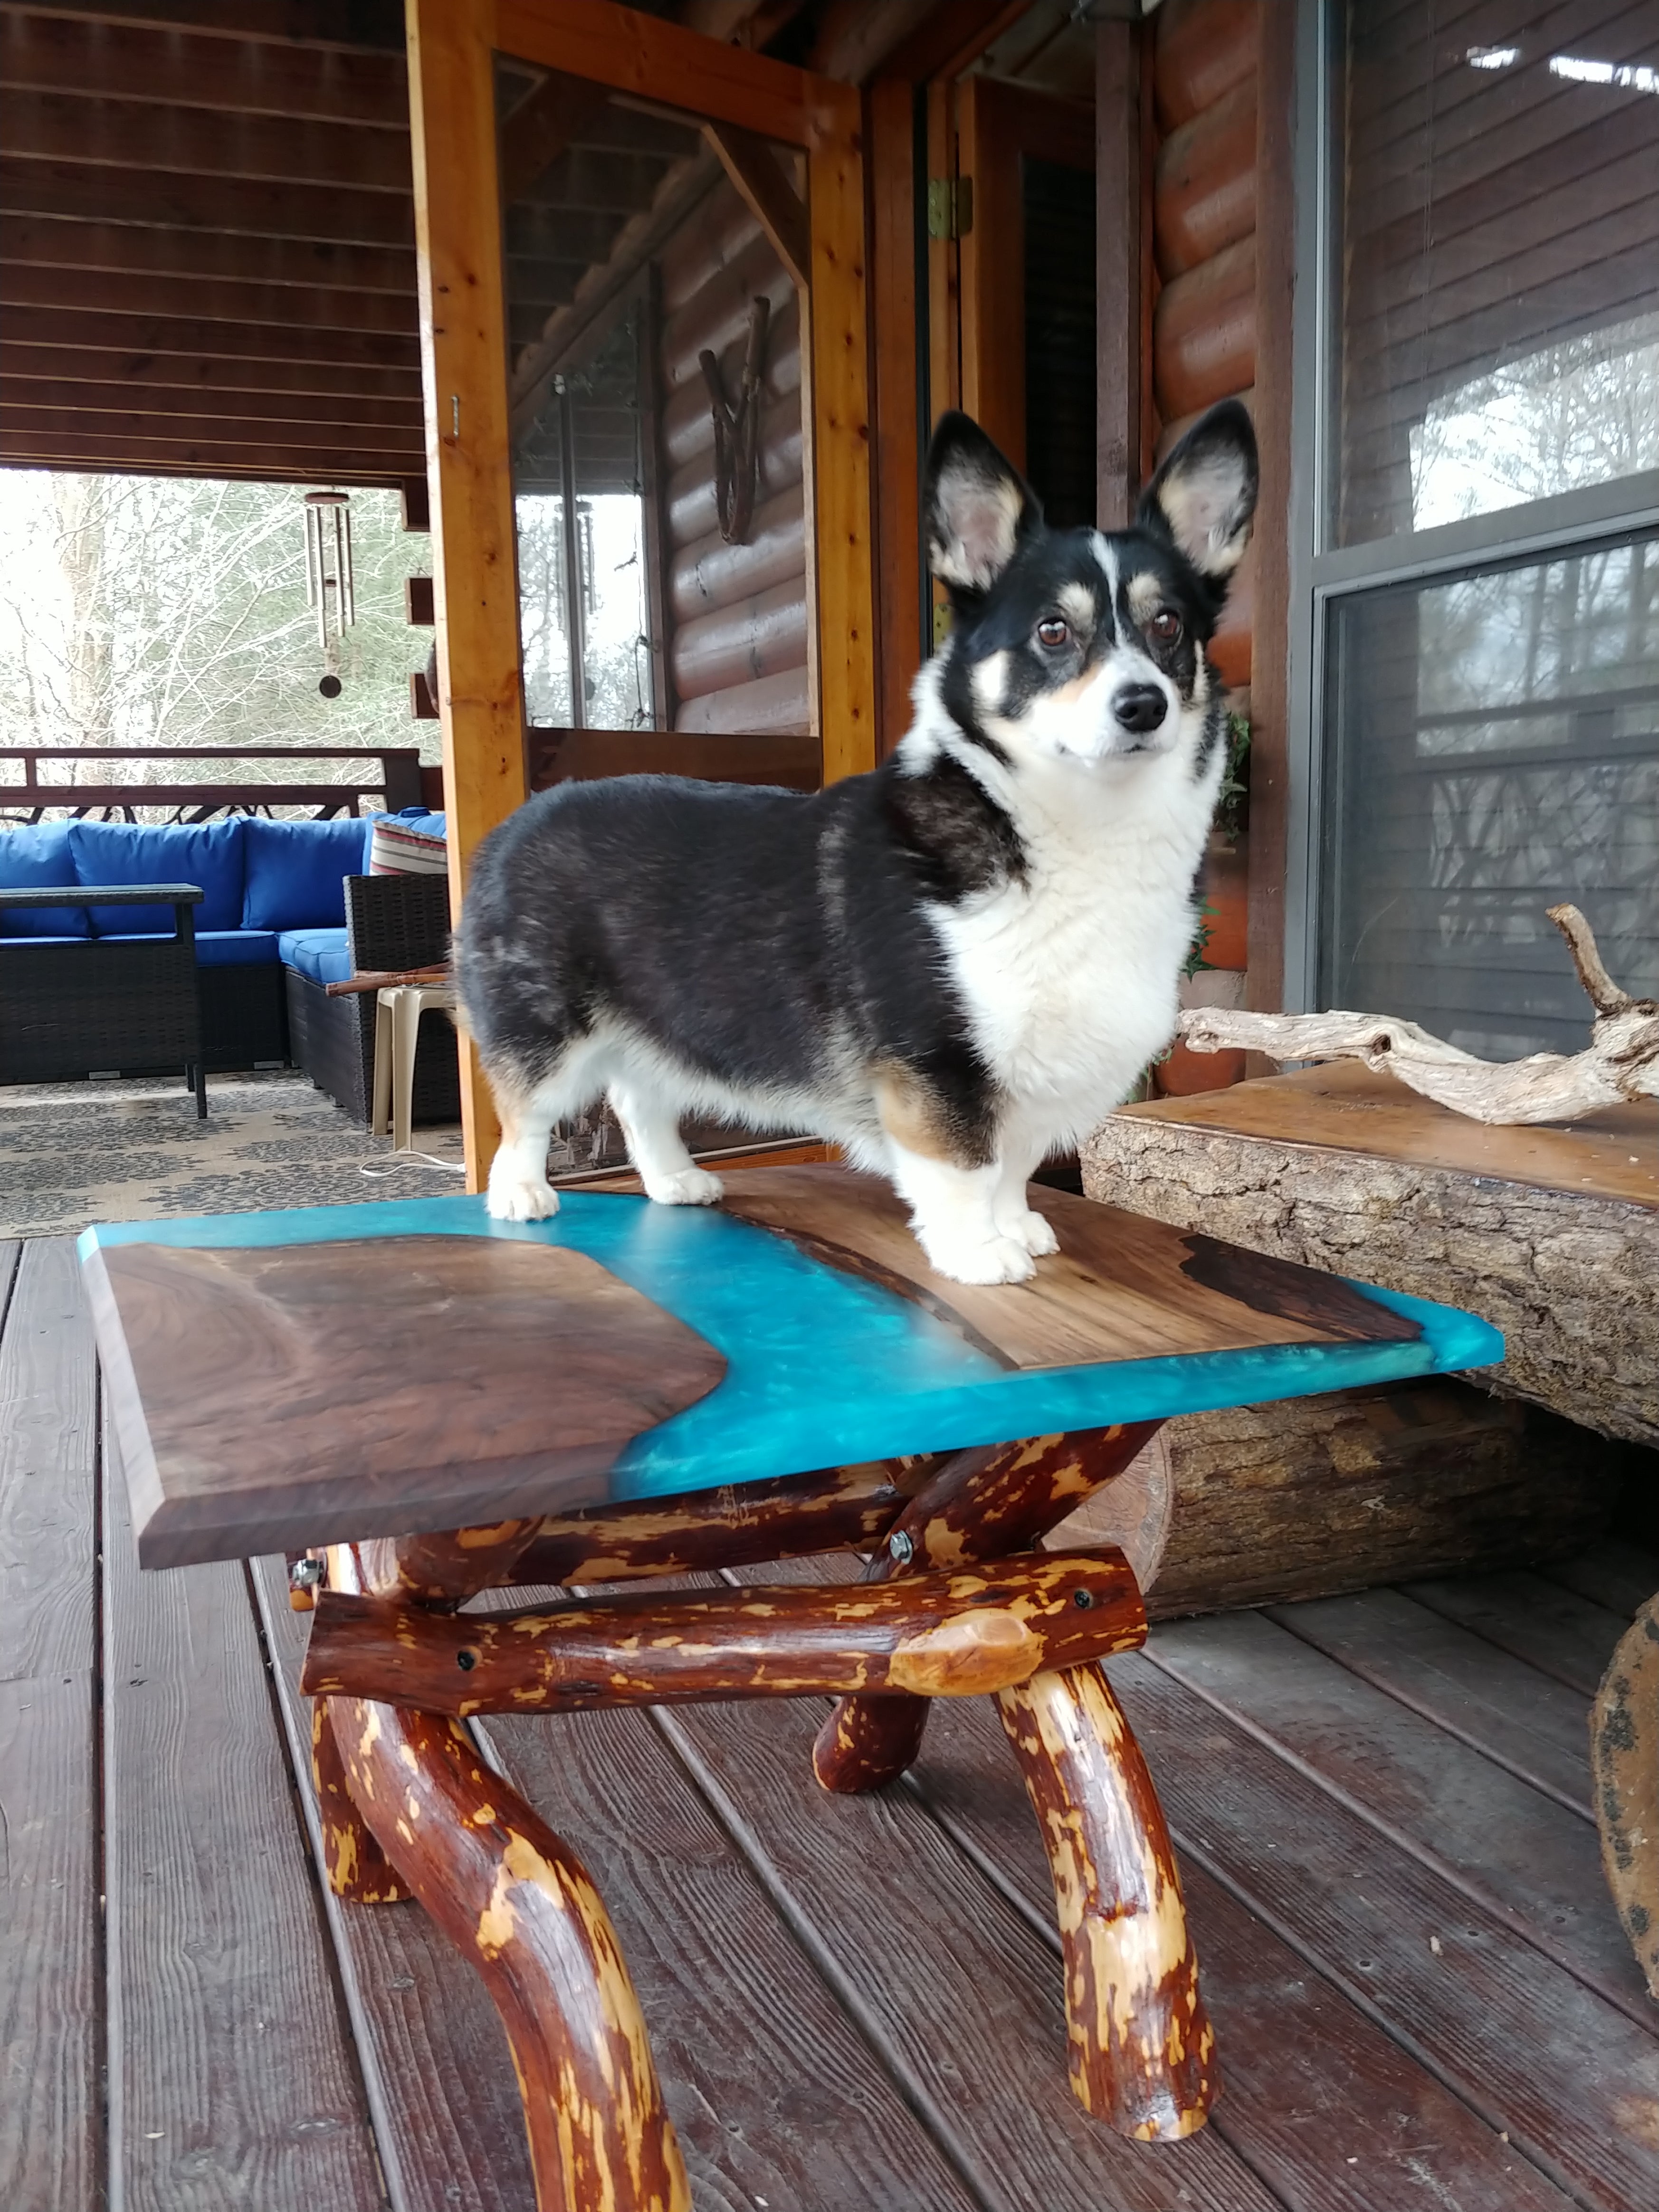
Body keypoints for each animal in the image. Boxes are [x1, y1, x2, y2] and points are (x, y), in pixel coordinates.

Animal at [456, 407, 1256, 1292]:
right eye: (1053, 631)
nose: (1143, 705)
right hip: (545, 1033)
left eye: (1168, 625)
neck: (1076, 823)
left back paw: (674, 1180)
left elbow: (1012, 1165)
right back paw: (521, 1194)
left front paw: (1017, 1224)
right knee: (523, 1113)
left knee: (640, 1098)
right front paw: (980, 1252)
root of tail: (516, 822)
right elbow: (966, 1166)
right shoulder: (934, 1061)